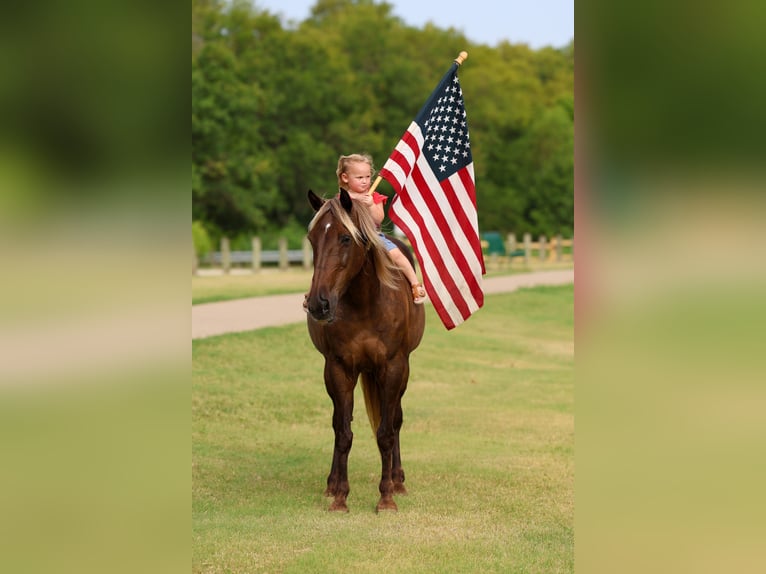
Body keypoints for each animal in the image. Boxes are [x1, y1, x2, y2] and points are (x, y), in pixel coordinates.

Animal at [305, 188, 426, 512]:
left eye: (346, 238)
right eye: (312, 239)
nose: (319, 304)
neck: (365, 302)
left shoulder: (393, 367)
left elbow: (386, 431)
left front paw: (386, 497)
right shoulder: (339, 368)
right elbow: (343, 433)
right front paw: (340, 497)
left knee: (395, 420)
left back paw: (398, 480)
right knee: (339, 422)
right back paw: (331, 484)